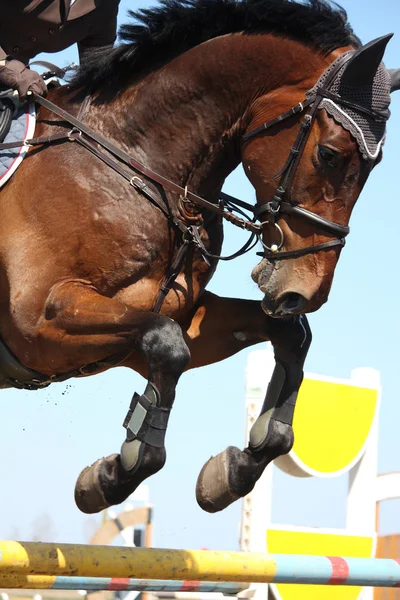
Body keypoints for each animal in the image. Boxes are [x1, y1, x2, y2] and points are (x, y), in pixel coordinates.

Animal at [0, 0, 398, 516]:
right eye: (329, 154)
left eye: (374, 166)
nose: (305, 292)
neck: (140, 168)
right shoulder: (38, 322)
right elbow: (166, 347)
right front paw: (110, 476)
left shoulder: (170, 321)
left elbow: (284, 336)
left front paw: (229, 474)